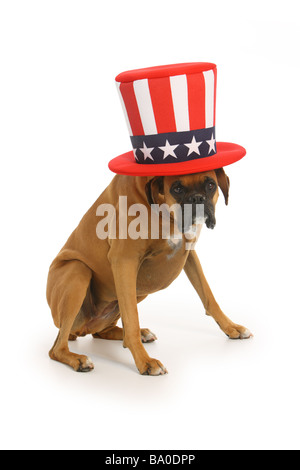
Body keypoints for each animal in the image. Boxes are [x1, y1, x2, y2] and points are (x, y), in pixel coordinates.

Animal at [47, 169, 252, 374]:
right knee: (57, 348)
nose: (197, 198)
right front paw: (145, 361)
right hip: (78, 271)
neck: (163, 211)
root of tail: (79, 329)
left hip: (138, 289)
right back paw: (78, 359)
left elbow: (208, 295)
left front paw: (231, 327)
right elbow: (132, 318)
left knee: (101, 331)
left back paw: (140, 333)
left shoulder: (188, 254)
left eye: (210, 185)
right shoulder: (125, 261)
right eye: (177, 188)